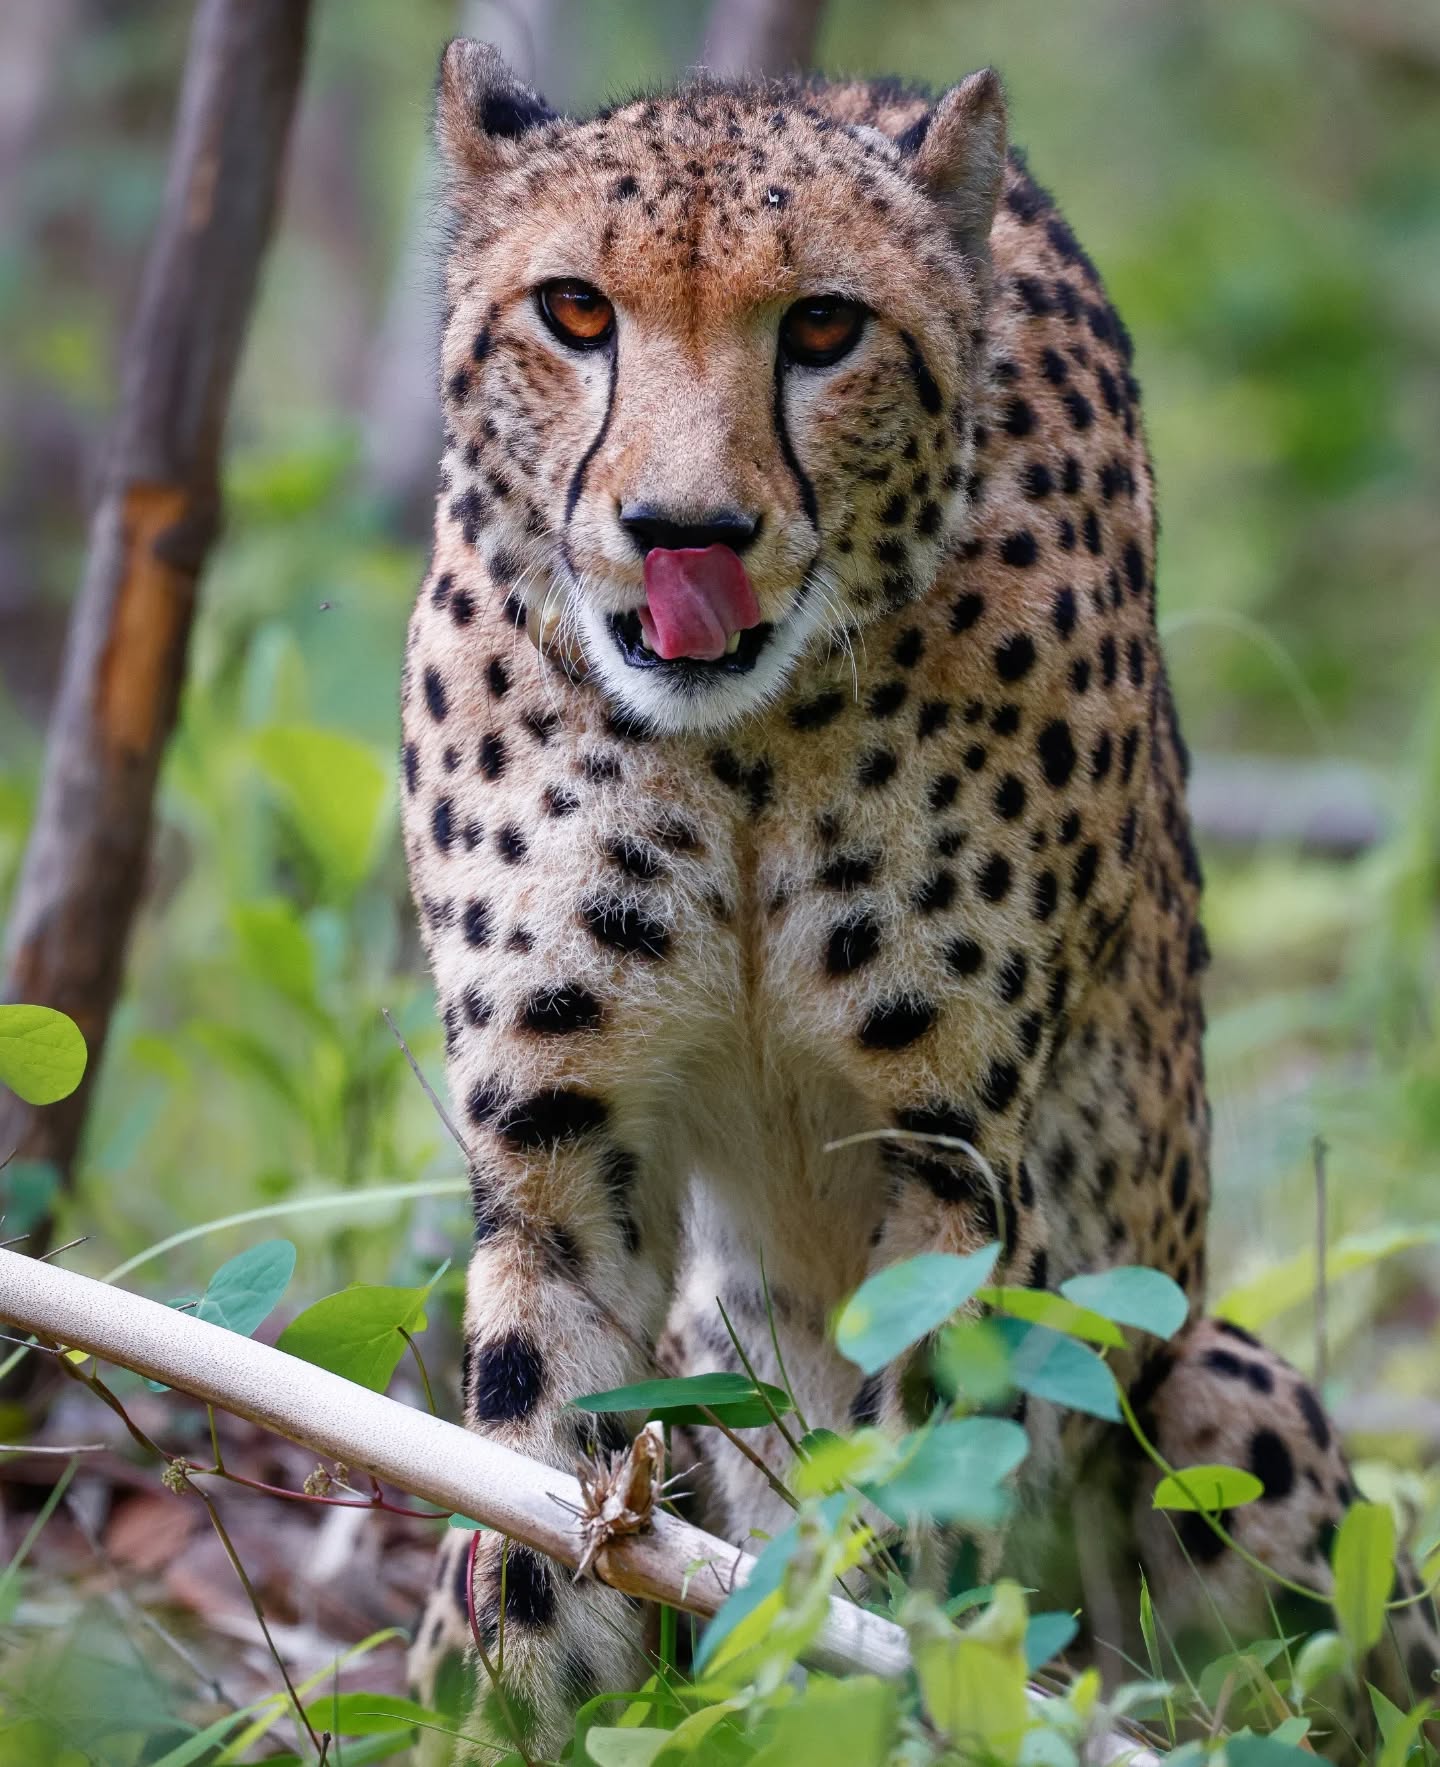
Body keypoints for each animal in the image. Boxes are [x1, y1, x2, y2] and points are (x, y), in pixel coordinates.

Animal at [399, 38, 1439, 1760]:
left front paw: (876, 1677)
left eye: (825, 327)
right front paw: (535, 1708)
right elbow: (535, 1464)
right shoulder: (560, 1134)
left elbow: (922, 1466)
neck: (742, 743)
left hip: (1213, 1378)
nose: (687, 533)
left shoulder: (948, 1150)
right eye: (575, 312)